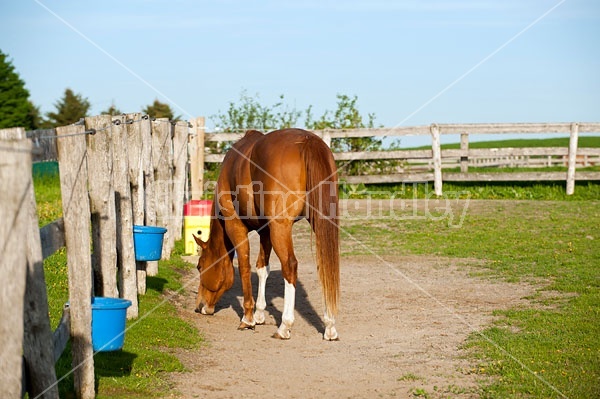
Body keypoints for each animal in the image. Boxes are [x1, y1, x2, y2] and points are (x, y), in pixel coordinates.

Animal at [195, 128, 340, 340]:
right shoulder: (265, 231)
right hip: (317, 223)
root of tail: (308, 141)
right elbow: (262, 268)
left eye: (199, 266)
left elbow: (245, 266)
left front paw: (248, 317)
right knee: (326, 267)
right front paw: (259, 313)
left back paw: (285, 326)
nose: (200, 307)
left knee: (290, 266)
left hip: (281, 228)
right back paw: (329, 326)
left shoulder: (235, 226)